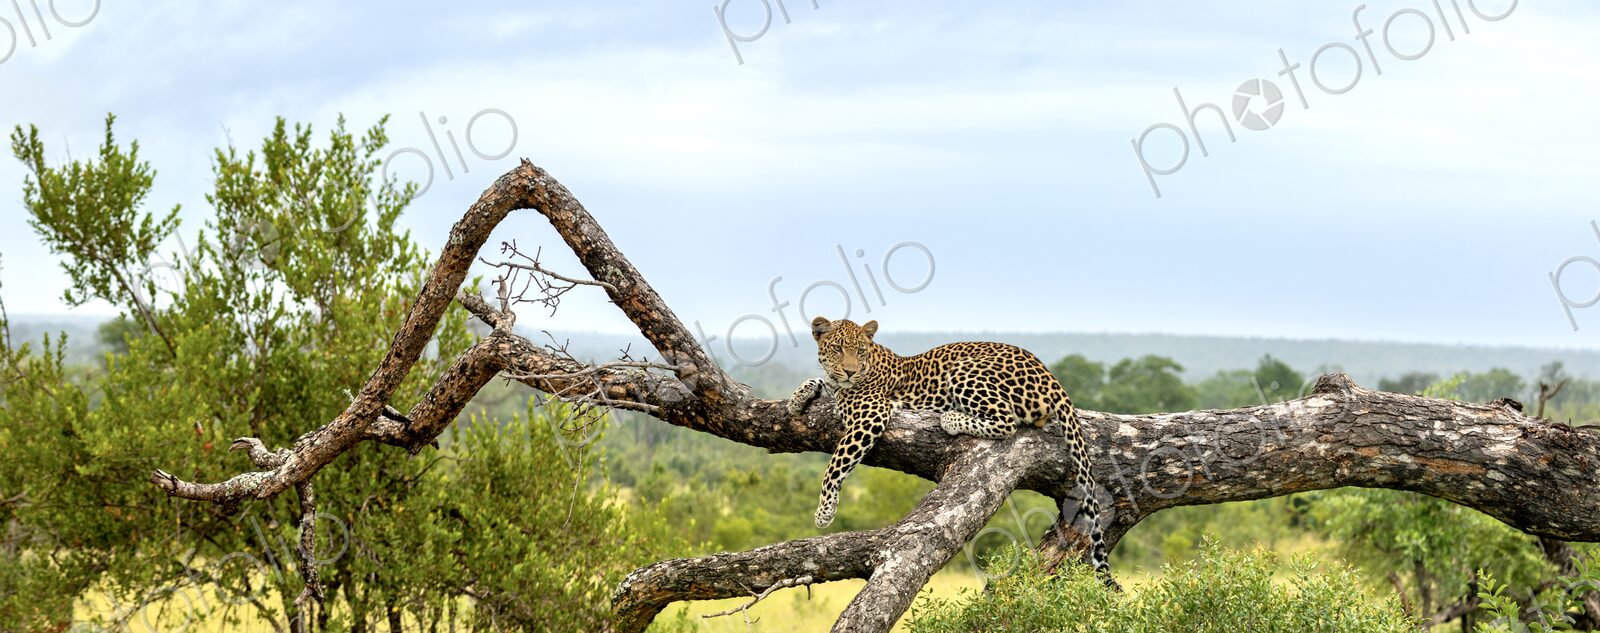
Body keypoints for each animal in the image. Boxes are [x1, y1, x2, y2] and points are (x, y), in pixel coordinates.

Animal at [787, 316, 1111, 580]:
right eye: (837, 349)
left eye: (860, 351)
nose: (850, 372)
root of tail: (1049, 375)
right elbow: (815, 381)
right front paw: (795, 400)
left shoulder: (871, 415)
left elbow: (835, 464)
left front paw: (824, 511)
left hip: (967, 371)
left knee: (1007, 422)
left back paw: (951, 418)